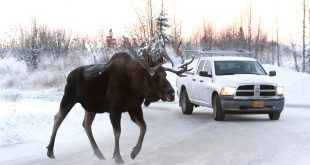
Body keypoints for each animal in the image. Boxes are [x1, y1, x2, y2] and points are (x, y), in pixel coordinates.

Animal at [45, 41, 194, 164]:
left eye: (166, 75)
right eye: (156, 76)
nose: (171, 93)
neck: (135, 87)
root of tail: (69, 75)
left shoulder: (134, 108)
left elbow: (144, 127)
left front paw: (134, 152)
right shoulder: (114, 109)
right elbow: (117, 132)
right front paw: (118, 156)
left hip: (90, 107)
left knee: (86, 124)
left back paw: (99, 153)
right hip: (68, 97)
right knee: (58, 118)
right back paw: (50, 151)